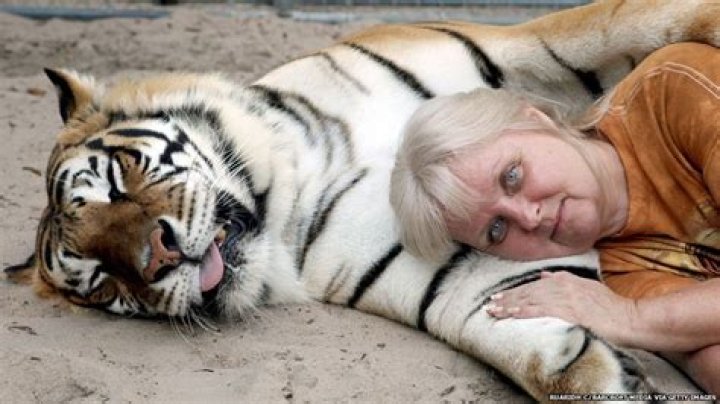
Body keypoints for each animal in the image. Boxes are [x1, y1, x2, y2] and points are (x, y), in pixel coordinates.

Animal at [5, 0, 720, 400]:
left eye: (118, 178)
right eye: (103, 282)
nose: (156, 258)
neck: (296, 182)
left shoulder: (530, 42)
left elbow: (658, 19)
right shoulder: (431, 261)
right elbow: (498, 315)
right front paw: (604, 374)